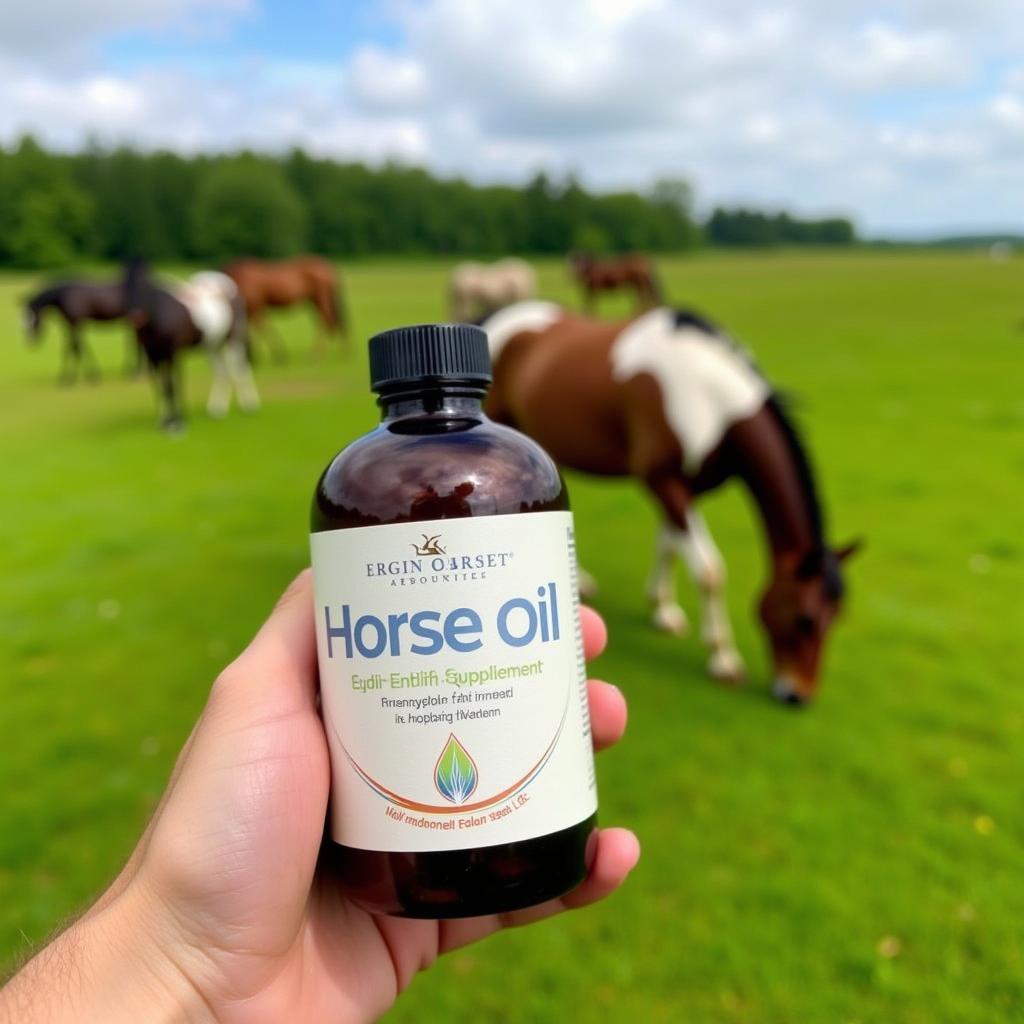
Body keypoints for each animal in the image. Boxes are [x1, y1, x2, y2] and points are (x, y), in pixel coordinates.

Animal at [124, 260, 260, 432]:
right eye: (124, 287)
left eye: (145, 286)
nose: (136, 316)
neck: (159, 317)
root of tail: (230, 288)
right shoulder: (153, 355)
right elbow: (161, 387)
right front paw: (164, 421)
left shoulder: (172, 353)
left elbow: (173, 385)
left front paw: (177, 421)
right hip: (213, 346)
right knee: (222, 372)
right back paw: (217, 410)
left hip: (233, 341)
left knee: (239, 368)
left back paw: (249, 405)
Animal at [220, 256, 348, 360]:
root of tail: (327, 267)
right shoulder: (253, 310)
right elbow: (258, 328)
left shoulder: (256, 307)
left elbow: (263, 328)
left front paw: (279, 353)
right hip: (314, 301)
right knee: (327, 321)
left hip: (321, 299)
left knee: (325, 321)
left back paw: (319, 354)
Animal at [483, 299, 860, 704]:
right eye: (804, 620)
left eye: (836, 617)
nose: (797, 695)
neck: (708, 398)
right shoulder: (663, 481)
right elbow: (709, 572)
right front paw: (722, 658)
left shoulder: (686, 490)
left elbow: (669, 547)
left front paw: (662, 609)